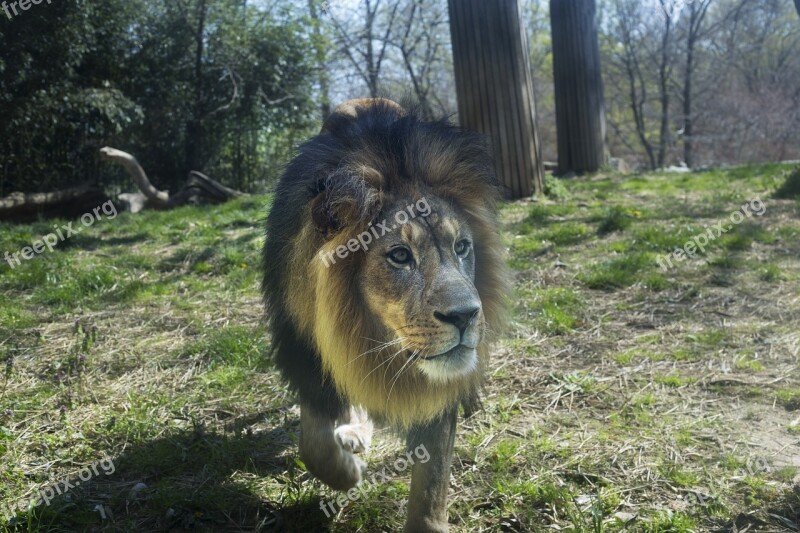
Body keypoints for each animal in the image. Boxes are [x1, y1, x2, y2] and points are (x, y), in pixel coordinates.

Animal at [266, 97, 510, 528]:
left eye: (462, 247)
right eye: (399, 256)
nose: (466, 316)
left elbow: (430, 486)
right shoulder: (306, 355)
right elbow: (314, 446)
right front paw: (349, 473)